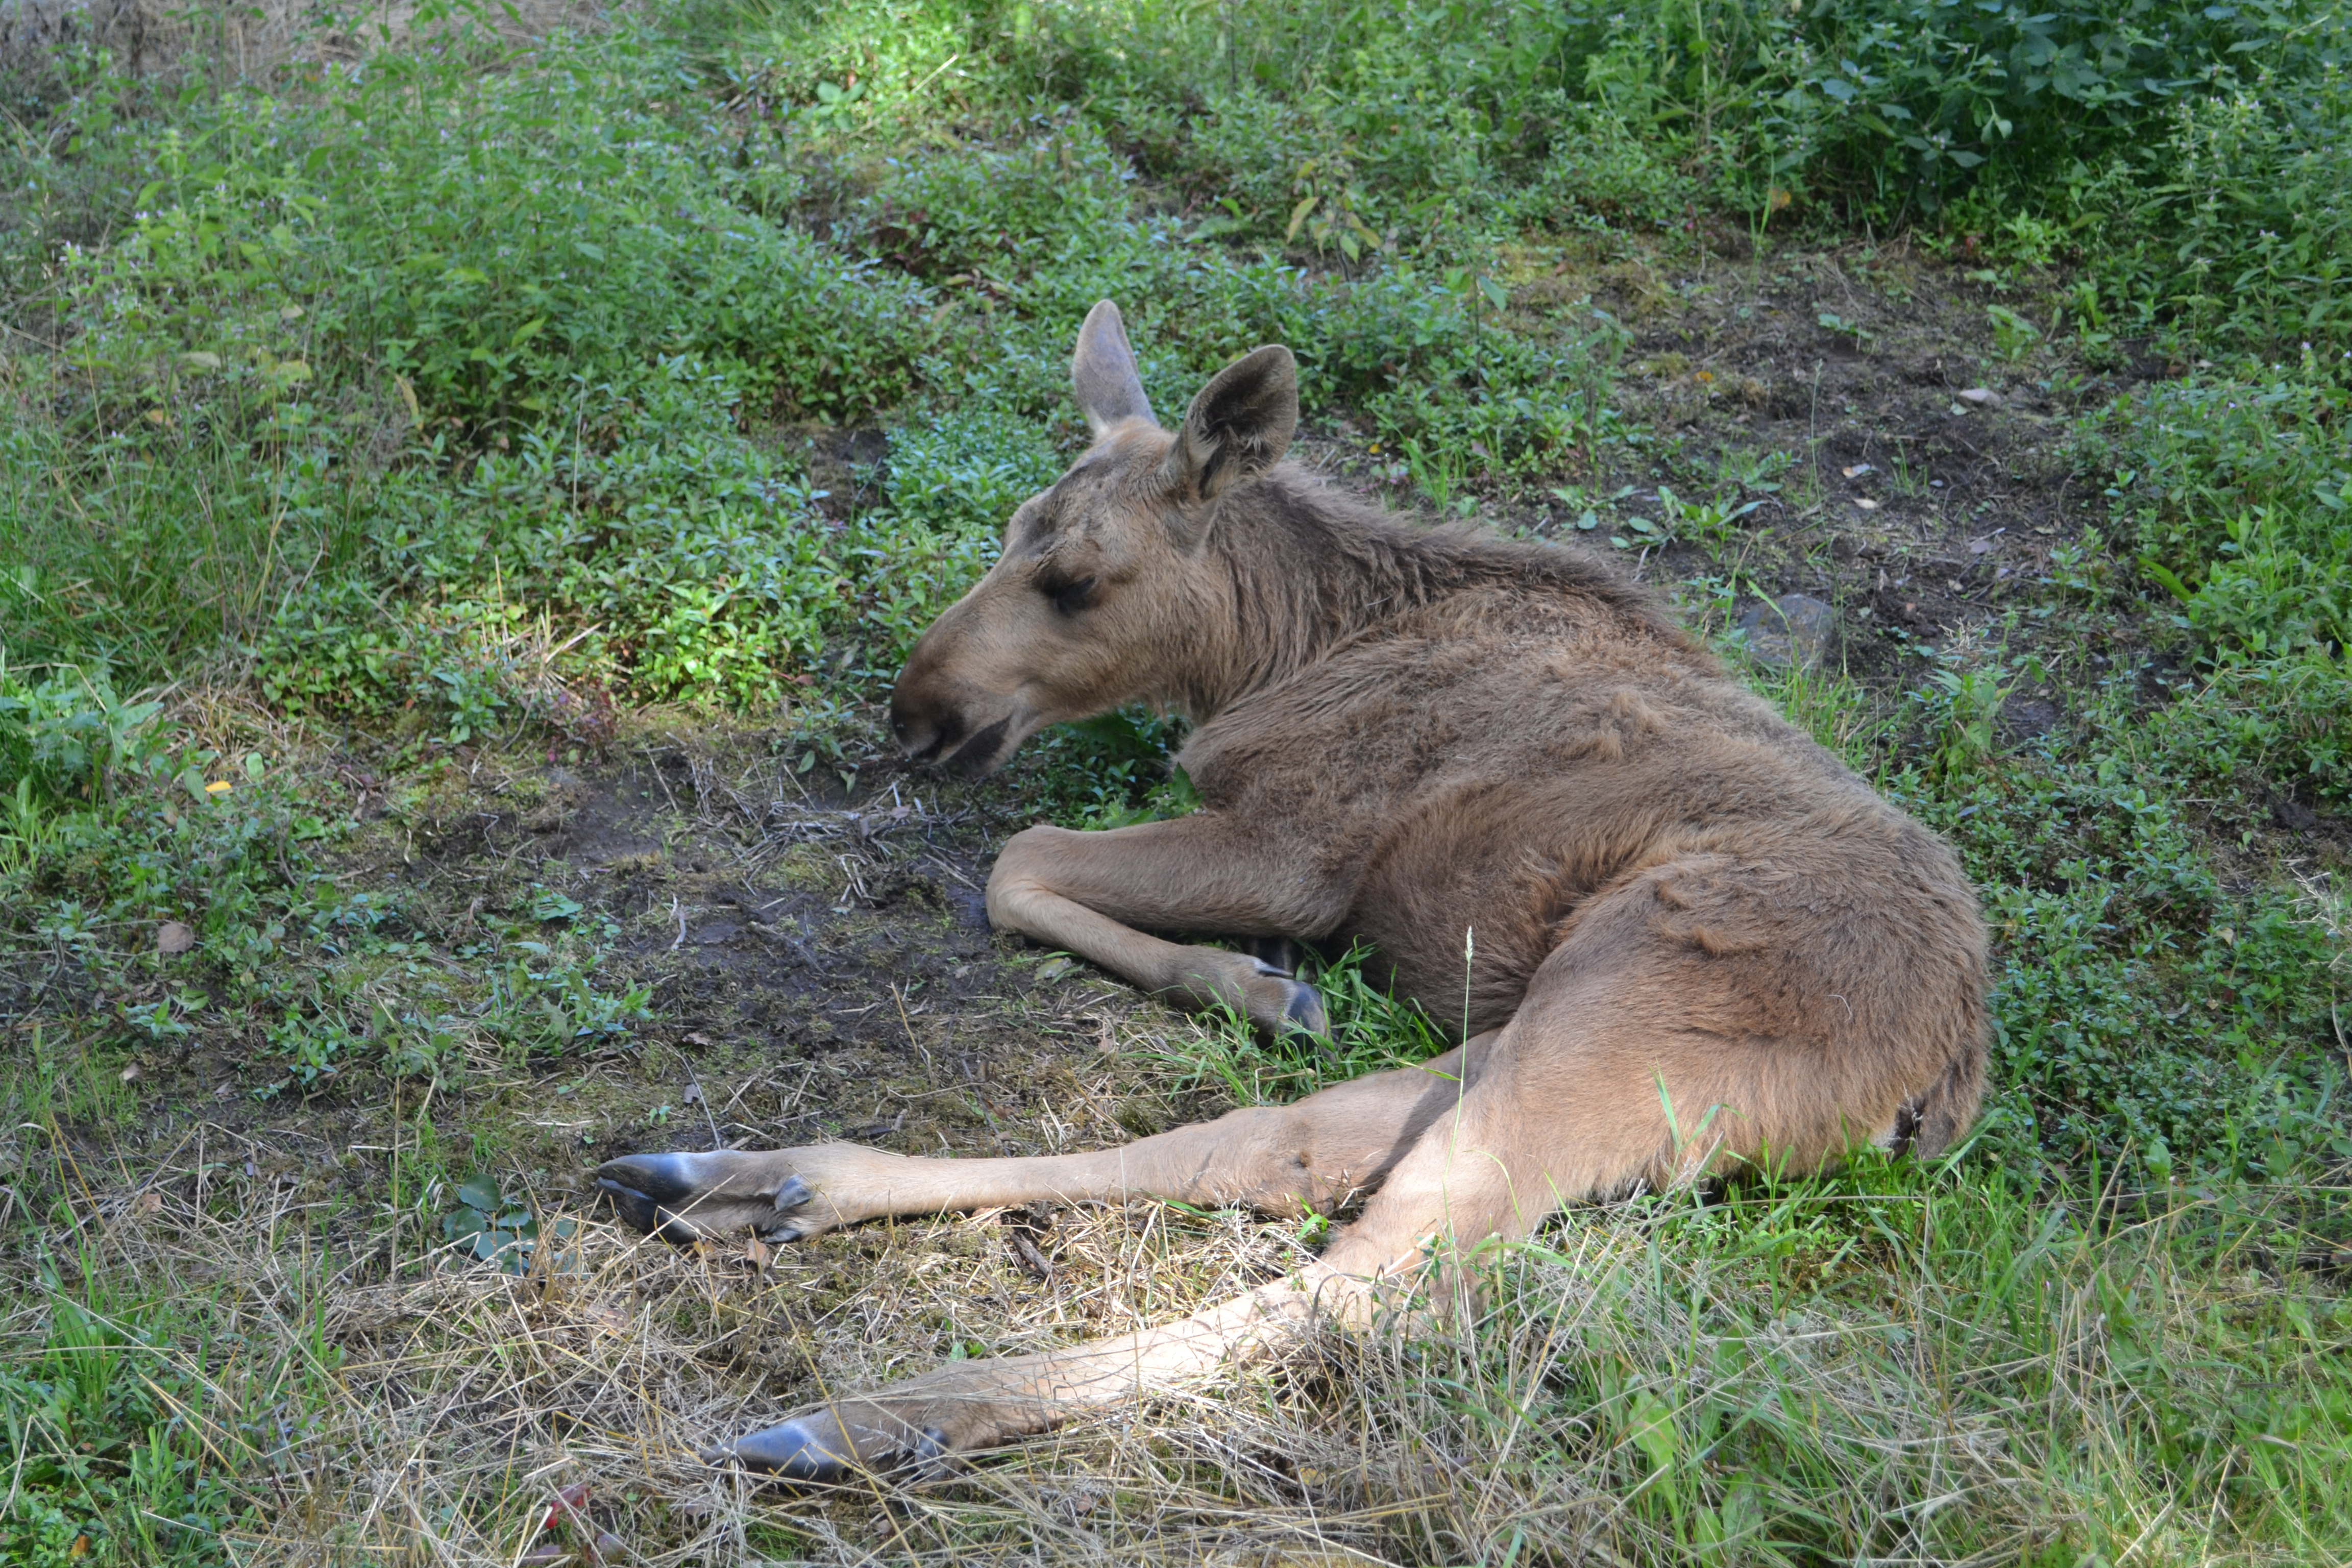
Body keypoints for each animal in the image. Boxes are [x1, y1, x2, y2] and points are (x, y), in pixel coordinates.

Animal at [593, 301, 1985, 1476]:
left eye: (1074, 580)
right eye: (1006, 535)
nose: (915, 712)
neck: (1272, 644)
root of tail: (1941, 1082)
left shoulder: (1300, 849)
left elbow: (1017, 857)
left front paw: (1243, 975)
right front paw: (1256, 989)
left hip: (1619, 1010)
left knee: (1371, 1278)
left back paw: (873, 1411)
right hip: (1553, 1033)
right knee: (1271, 1146)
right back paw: (744, 1178)